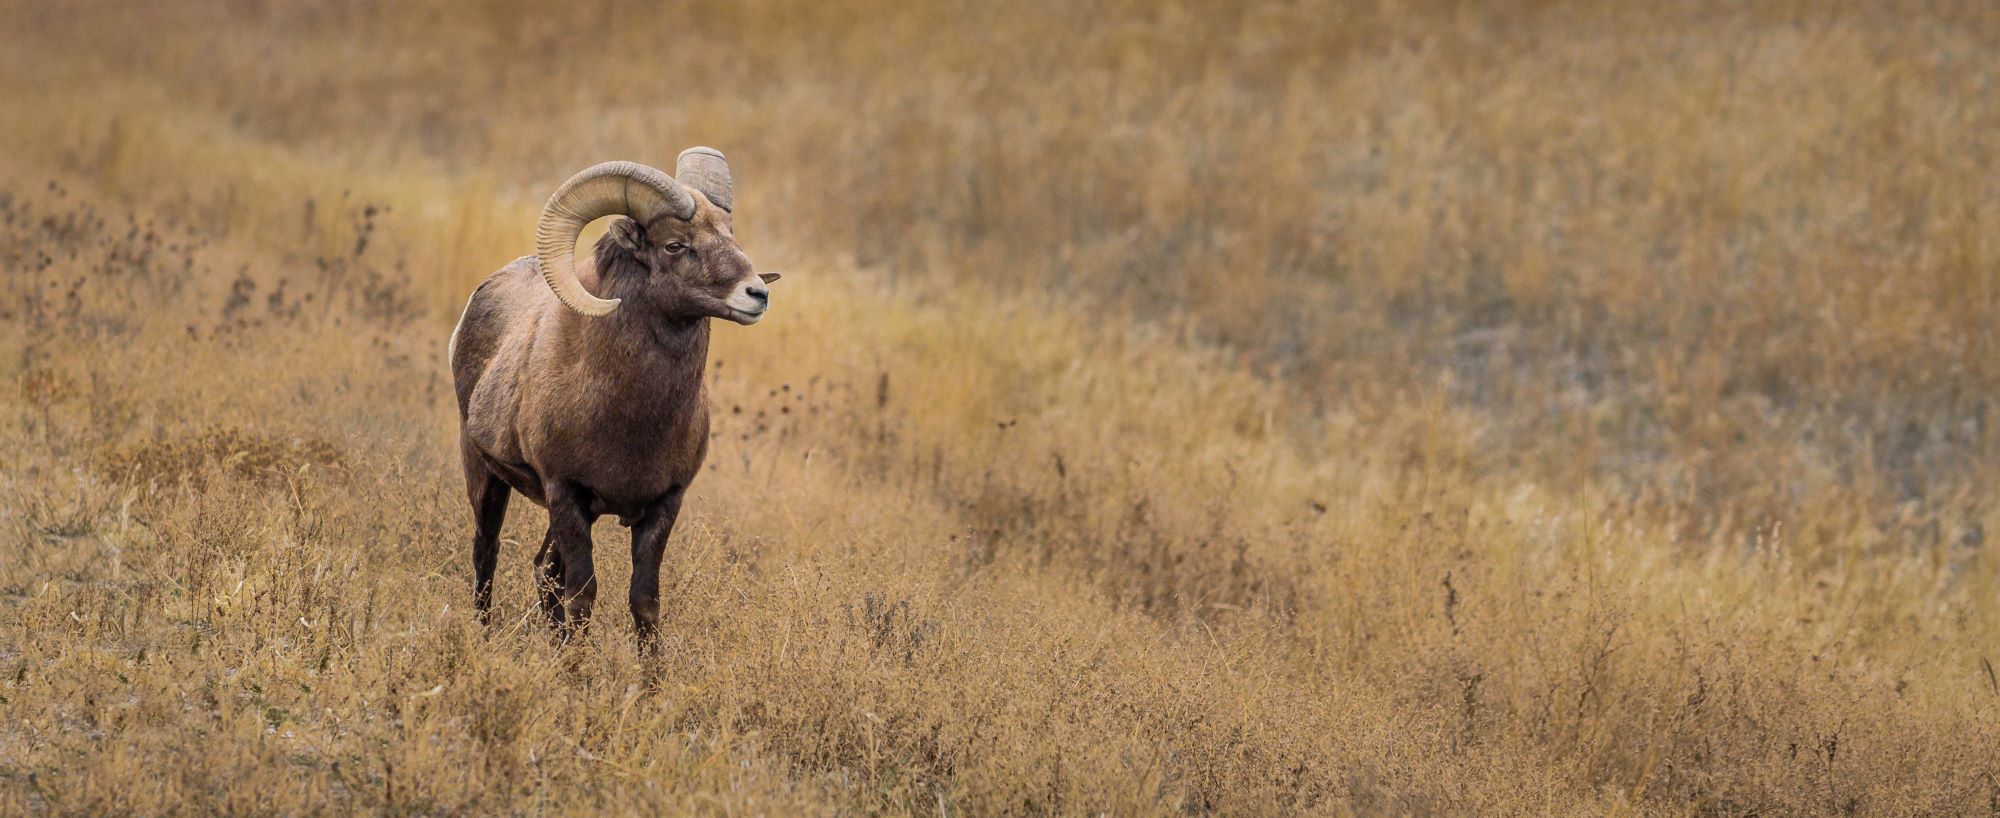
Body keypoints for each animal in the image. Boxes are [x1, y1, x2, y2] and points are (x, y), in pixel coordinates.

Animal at [450, 150, 776, 640]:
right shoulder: (567, 495)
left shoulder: (662, 506)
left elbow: (644, 602)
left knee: (543, 572)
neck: (630, 417)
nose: (757, 294)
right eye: (674, 245)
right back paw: (485, 635)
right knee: (487, 553)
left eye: (729, 232)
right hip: (485, 475)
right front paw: (578, 663)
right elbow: (583, 595)